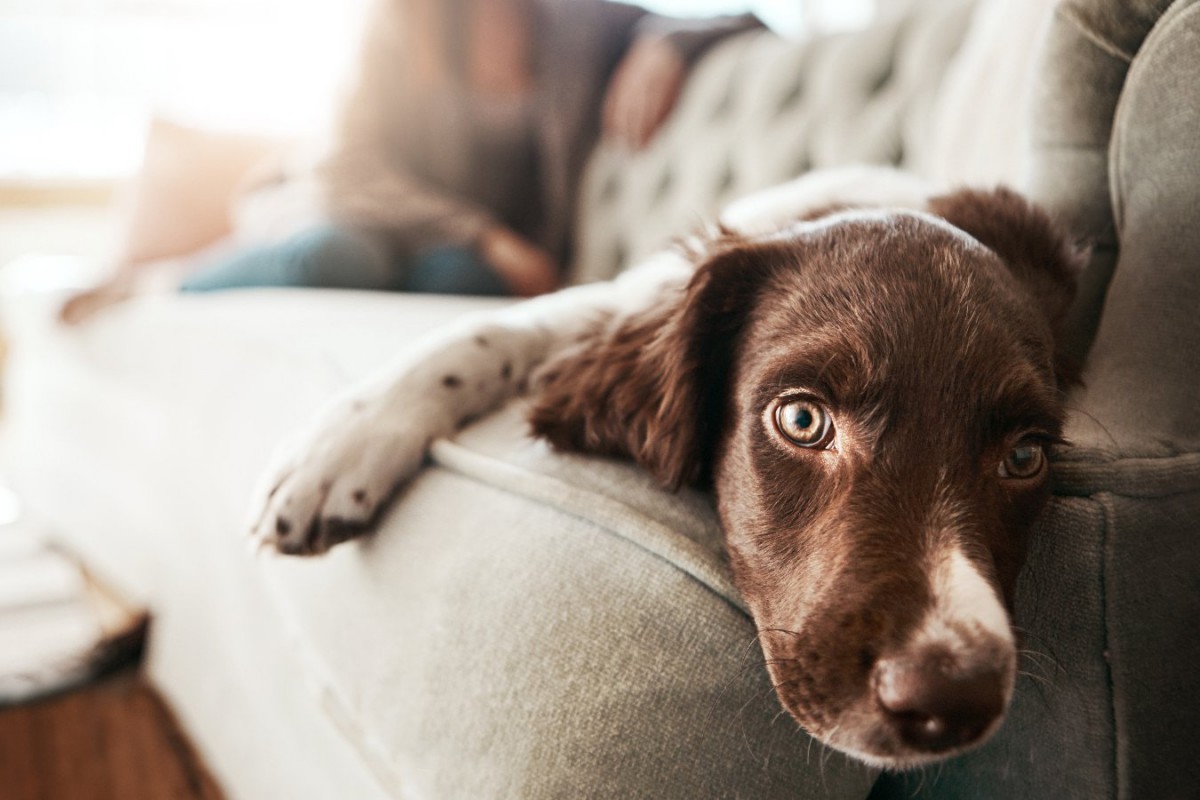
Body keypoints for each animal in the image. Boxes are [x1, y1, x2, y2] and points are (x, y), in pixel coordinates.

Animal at [248, 167, 1084, 767]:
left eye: (1025, 455)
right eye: (803, 420)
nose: (951, 695)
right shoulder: (624, 297)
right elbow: (488, 333)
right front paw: (338, 448)